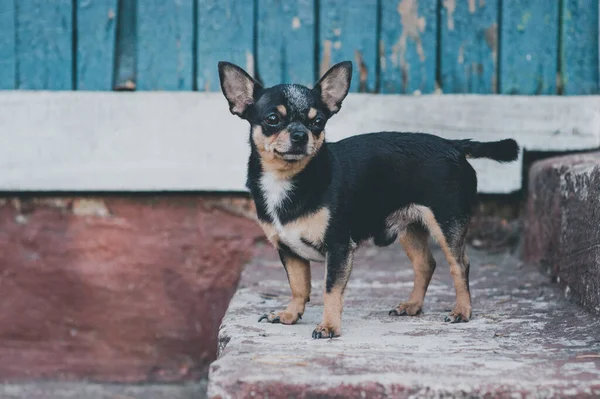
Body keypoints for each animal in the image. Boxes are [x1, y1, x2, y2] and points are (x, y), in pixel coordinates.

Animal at [218, 60, 516, 340]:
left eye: (318, 122)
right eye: (272, 119)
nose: (300, 135)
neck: (288, 179)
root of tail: (453, 144)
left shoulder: (338, 248)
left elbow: (330, 290)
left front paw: (329, 326)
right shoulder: (289, 251)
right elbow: (298, 286)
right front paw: (290, 314)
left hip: (447, 224)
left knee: (459, 265)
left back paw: (462, 311)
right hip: (409, 228)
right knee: (425, 264)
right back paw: (412, 305)